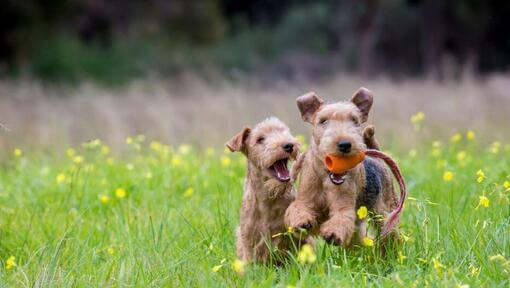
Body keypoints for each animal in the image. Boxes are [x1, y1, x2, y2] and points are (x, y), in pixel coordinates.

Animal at [286, 86, 398, 246]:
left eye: (355, 121)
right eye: (323, 121)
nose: (345, 144)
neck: (326, 179)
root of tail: (377, 159)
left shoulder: (344, 208)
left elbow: (341, 219)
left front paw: (332, 234)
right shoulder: (305, 201)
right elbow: (298, 209)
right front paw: (301, 223)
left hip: (385, 211)